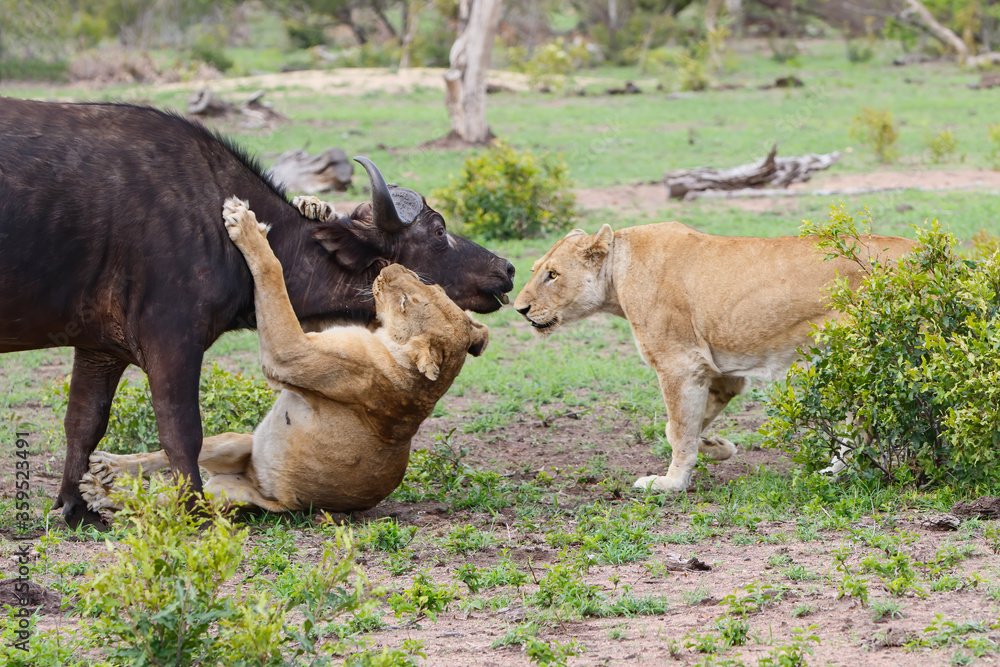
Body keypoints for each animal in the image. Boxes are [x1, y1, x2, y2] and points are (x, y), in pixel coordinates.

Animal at [80, 198, 488, 513]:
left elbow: (273, 271)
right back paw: (104, 470)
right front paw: (317, 207)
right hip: (236, 440)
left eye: (406, 301)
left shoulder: (292, 353)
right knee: (170, 461)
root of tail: (253, 479)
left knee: (173, 499)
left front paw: (245, 224)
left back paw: (100, 491)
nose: (391, 267)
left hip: (228, 499)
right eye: (431, 287)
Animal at [513, 222, 914, 492]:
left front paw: (670, 484)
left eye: (552, 275)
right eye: (534, 270)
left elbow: (678, 428)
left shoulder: (679, 363)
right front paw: (714, 446)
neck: (617, 272)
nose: (519, 309)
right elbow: (683, 425)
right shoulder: (720, 372)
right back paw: (833, 473)